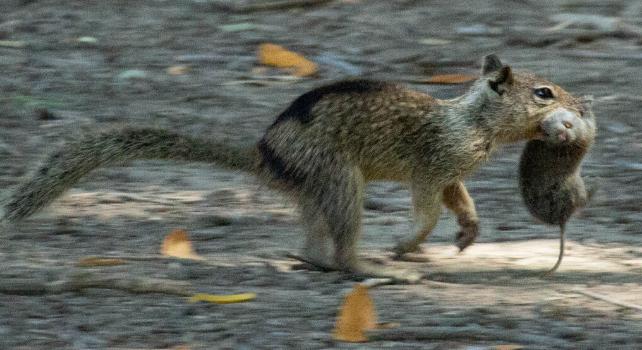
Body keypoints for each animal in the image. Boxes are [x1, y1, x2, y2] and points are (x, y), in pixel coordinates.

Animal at [516, 95, 592, 274]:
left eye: (568, 125)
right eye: (547, 133)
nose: (563, 135)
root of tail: (561, 219)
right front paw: (585, 103)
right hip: (576, 189)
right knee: (583, 202)